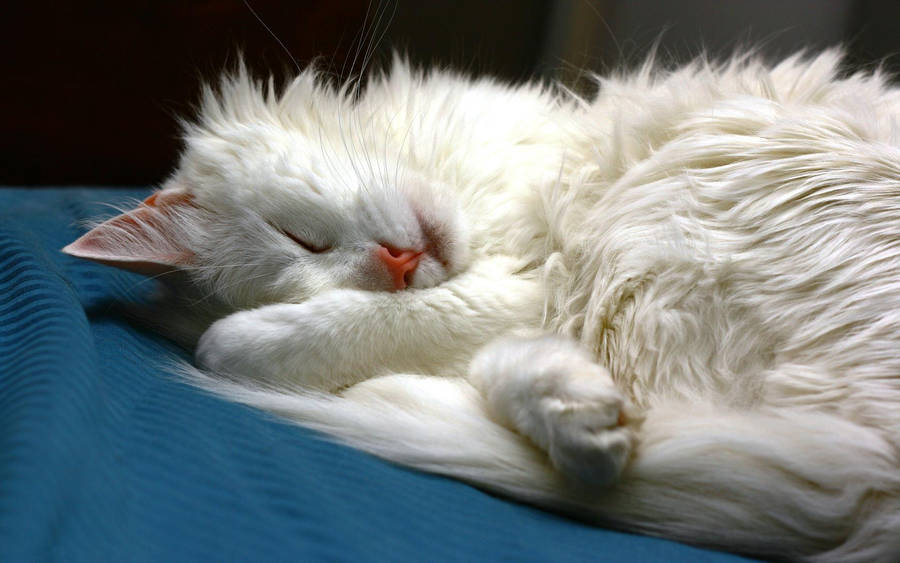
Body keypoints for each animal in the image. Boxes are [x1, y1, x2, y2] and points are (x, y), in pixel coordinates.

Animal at [63, 53, 900, 563]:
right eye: (311, 255)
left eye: (296, 237)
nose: (399, 265)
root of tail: (877, 487)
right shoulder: (529, 289)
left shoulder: (536, 273)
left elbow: (240, 344)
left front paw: (244, 341)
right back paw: (580, 423)